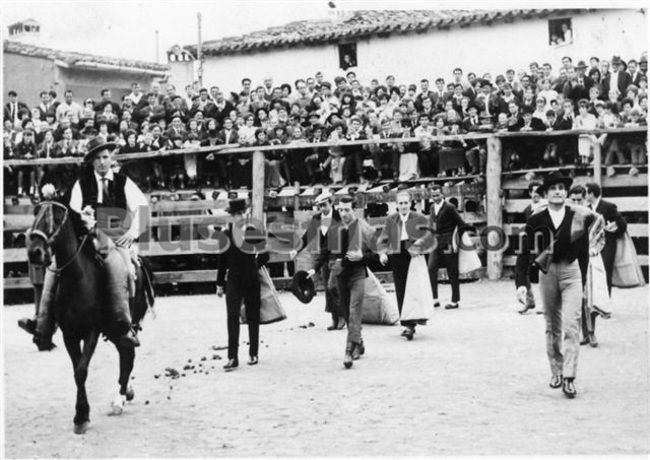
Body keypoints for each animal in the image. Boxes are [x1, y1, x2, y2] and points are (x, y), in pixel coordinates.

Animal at [26, 201, 154, 434]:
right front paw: (81, 414)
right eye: (36, 213)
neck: (78, 279)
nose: (35, 252)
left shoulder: (91, 332)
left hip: (124, 326)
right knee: (126, 354)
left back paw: (119, 400)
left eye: (57, 216)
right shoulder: (69, 334)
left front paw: (81, 417)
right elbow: (77, 371)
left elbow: (81, 371)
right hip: (115, 331)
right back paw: (125, 393)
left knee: (128, 355)